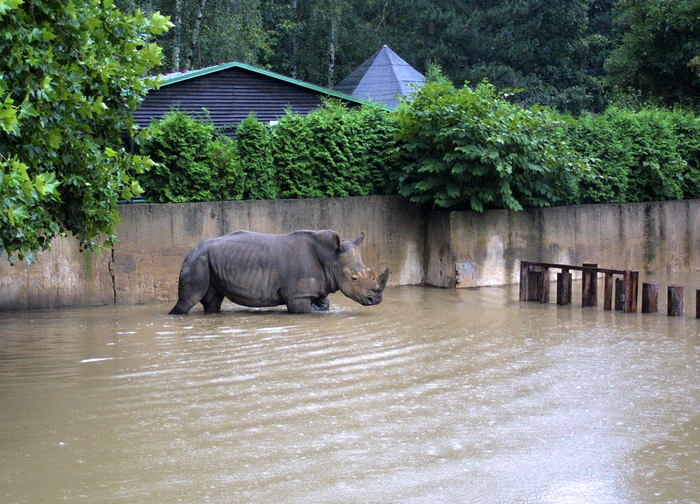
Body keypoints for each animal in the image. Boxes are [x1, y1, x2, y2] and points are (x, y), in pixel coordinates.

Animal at [169, 229, 390, 315]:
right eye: (354, 278)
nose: (376, 300)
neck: (331, 259)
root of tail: (192, 248)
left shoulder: (317, 288)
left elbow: (324, 304)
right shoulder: (298, 296)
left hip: (208, 260)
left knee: (213, 301)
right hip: (196, 260)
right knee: (188, 300)